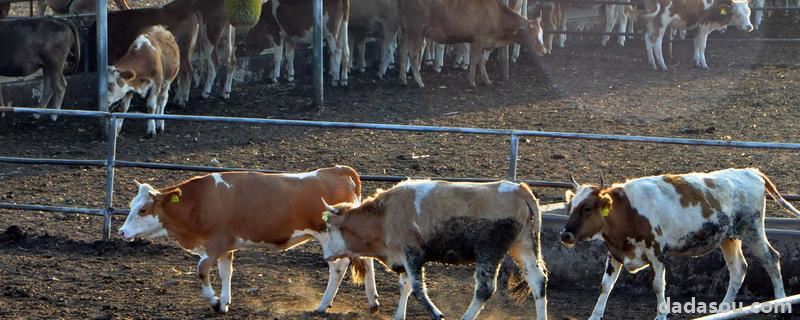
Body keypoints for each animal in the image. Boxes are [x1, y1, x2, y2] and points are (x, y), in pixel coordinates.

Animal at [119, 166, 382, 314]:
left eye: (143, 210)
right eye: (131, 205)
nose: (122, 232)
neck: (200, 202)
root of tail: (338, 171)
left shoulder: (216, 244)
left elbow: (202, 270)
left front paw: (214, 301)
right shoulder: (226, 247)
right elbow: (226, 272)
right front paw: (224, 303)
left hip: (329, 236)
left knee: (338, 267)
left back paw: (322, 306)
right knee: (367, 260)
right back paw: (373, 302)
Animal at [322, 180, 548, 320]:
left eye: (330, 228)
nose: (326, 256)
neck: (385, 216)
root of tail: (519, 189)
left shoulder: (412, 254)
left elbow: (417, 289)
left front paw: (437, 314)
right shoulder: (402, 258)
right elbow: (404, 287)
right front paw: (399, 315)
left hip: (490, 251)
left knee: (484, 289)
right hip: (523, 245)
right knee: (538, 281)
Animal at [396, 0, 548, 88]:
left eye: (542, 34)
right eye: (534, 36)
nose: (544, 51)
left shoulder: (481, 41)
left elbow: (481, 61)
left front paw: (486, 80)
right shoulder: (479, 39)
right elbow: (475, 59)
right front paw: (472, 81)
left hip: (406, 30)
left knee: (403, 52)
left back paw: (403, 79)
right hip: (417, 30)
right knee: (413, 55)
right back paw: (419, 82)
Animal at [556, 169, 800, 318]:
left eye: (587, 208)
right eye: (571, 207)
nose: (565, 235)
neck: (627, 211)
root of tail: (751, 171)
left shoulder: (656, 253)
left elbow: (657, 285)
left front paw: (661, 314)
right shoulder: (615, 253)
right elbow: (605, 286)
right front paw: (595, 315)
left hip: (753, 230)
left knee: (771, 259)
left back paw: (781, 303)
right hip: (728, 238)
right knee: (738, 269)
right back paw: (722, 310)